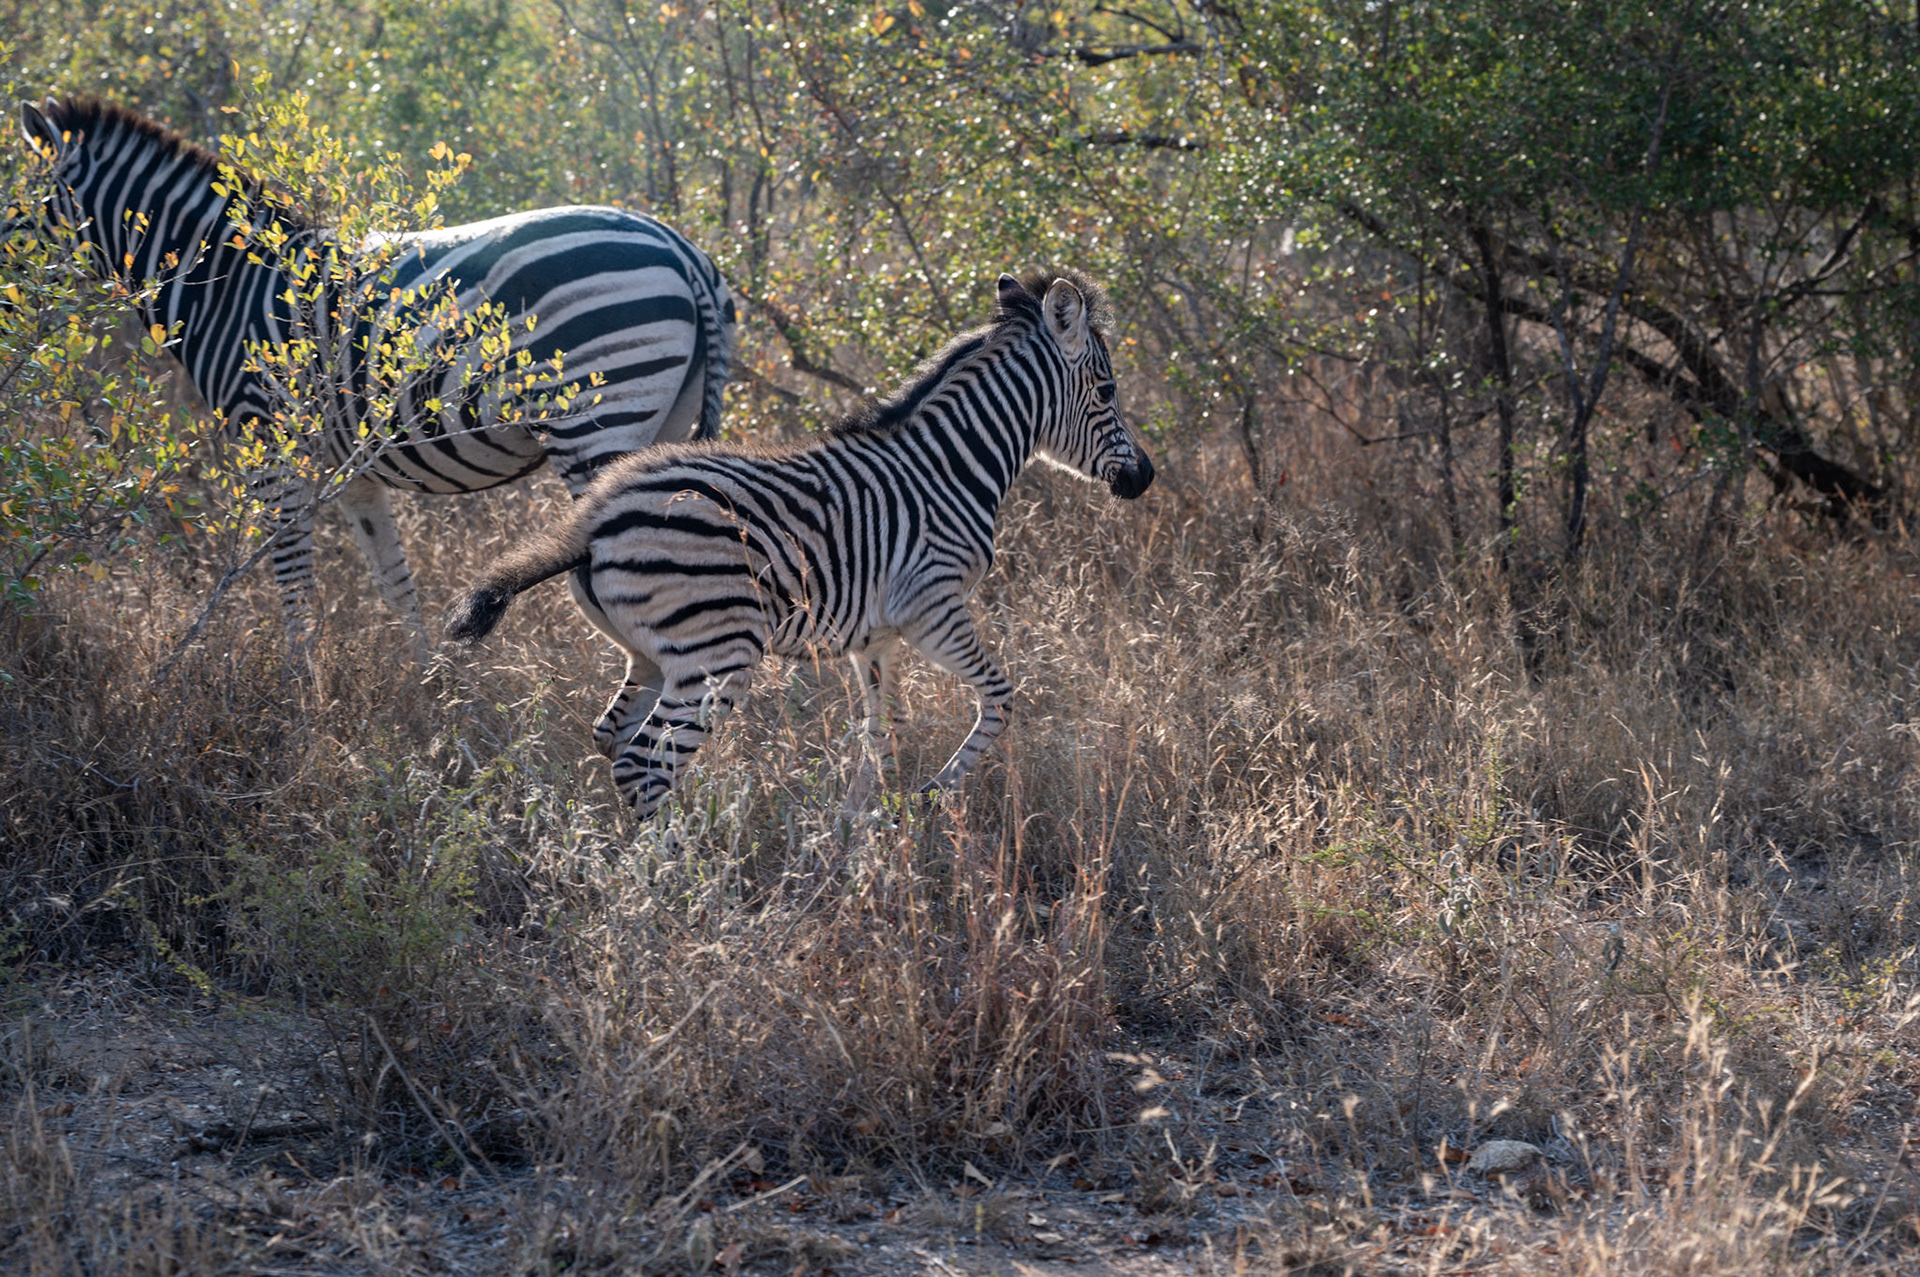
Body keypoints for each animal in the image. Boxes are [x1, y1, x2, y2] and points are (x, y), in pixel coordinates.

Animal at [15, 96, 733, 655]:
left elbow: (294, 584)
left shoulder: (273, 447)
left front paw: (301, 709)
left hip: (597, 420)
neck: (223, 284)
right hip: (662, 422)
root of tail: (683, 250)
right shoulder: (349, 470)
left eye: (16, 202)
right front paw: (433, 702)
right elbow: (395, 585)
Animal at [446, 269, 1154, 821]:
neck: (951, 466)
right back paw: (682, 884)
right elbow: (1001, 698)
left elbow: (883, 731)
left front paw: (857, 829)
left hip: (651, 654)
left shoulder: (876, 636)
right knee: (645, 764)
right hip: (718, 653)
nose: (1144, 478)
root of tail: (592, 519)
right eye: (1108, 390)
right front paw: (931, 794)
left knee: (613, 739)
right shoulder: (933, 608)